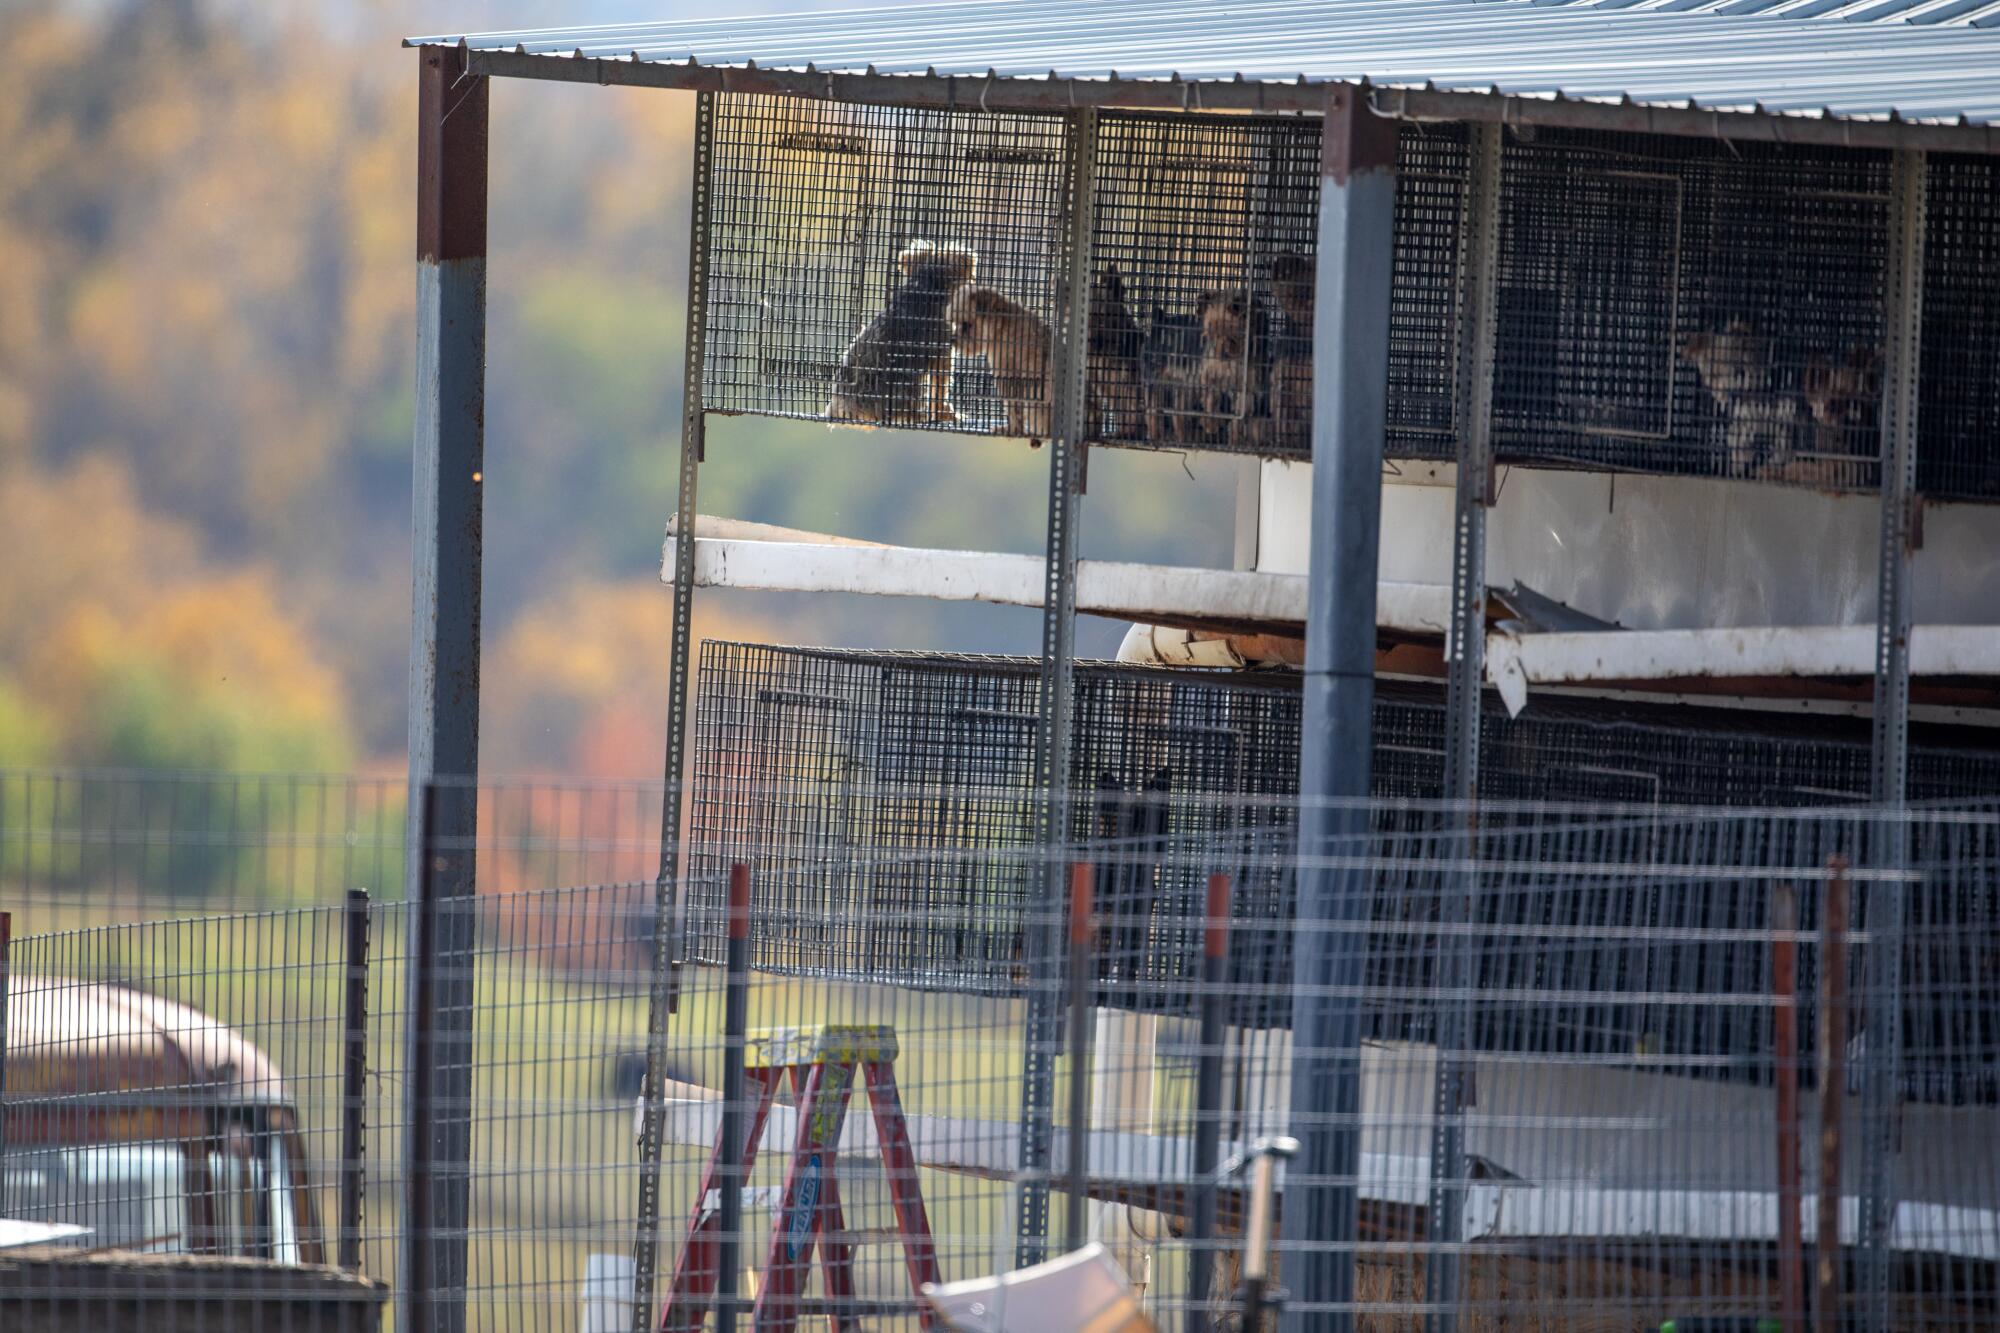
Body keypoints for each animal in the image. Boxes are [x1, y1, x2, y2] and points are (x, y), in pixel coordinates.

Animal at [944, 282, 1056, 438]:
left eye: (966, 325)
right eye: (954, 323)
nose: (952, 340)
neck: (1003, 326)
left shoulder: (1005, 365)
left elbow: (1012, 403)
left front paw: (1013, 429)